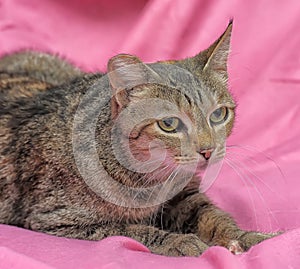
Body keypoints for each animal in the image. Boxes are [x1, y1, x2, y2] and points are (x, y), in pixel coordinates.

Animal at [0, 22, 276, 255]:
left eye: (218, 114)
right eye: (169, 124)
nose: (208, 150)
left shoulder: (184, 194)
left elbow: (213, 216)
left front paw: (249, 237)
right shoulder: (59, 220)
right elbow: (129, 230)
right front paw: (178, 241)